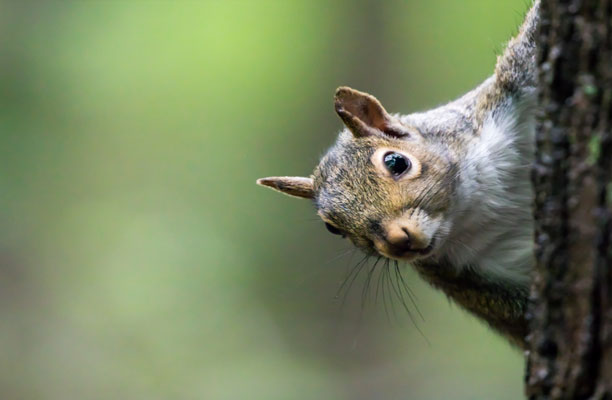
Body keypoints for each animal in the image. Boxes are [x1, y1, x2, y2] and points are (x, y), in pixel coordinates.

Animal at [258, 1, 540, 348]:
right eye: (332, 228)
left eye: (396, 162)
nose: (396, 241)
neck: (473, 206)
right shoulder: (471, 283)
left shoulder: (505, 94)